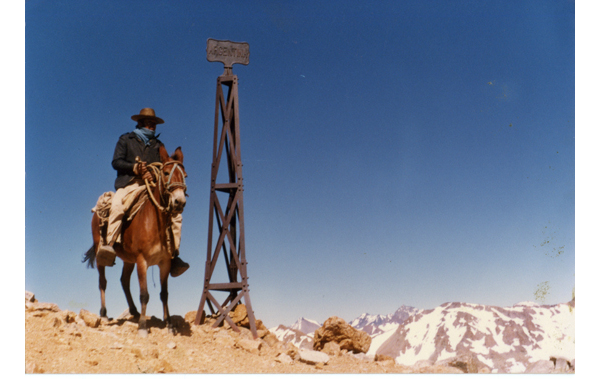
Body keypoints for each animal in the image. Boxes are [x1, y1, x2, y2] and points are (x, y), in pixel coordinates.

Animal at [82, 145, 185, 338]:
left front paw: (169, 324)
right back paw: (104, 314)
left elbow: (164, 294)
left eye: (185, 175)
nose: (179, 202)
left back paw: (134, 312)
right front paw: (143, 327)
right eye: (166, 173)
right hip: (103, 254)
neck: (155, 222)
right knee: (102, 281)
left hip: (129, 260)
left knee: (124, 281)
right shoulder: (142, 261)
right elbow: (144, 294)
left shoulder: (164, 263)